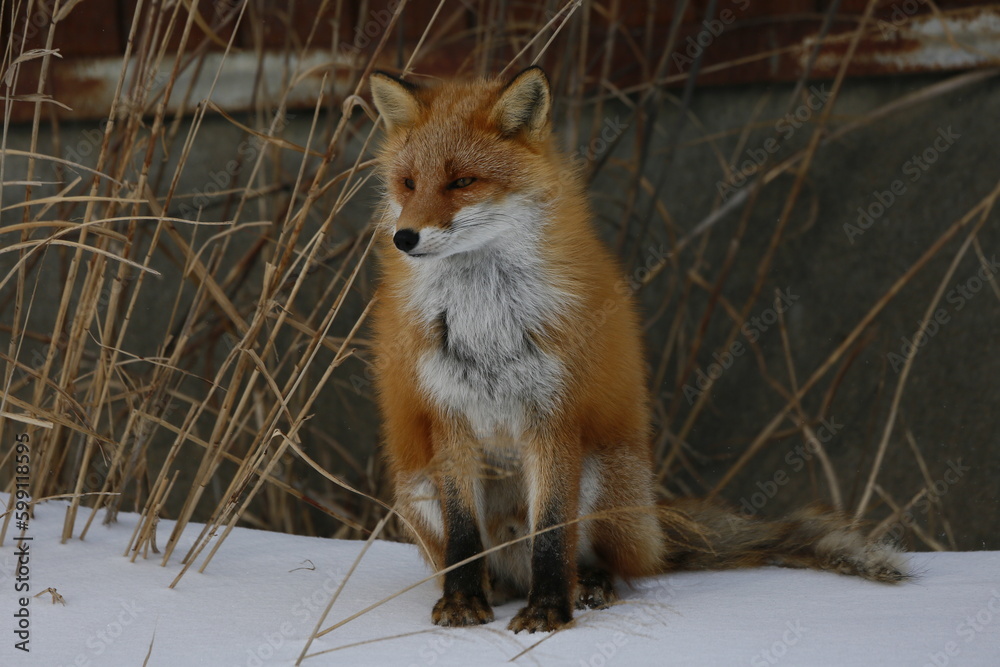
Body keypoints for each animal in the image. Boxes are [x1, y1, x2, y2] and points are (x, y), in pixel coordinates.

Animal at [367, 66, 906, 633]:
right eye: (408, 183)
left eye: (462, 182)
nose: (404, 237)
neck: (485, 320)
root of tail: (654, 526)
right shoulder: (447, 416)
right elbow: (464, 535)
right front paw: (463, 601)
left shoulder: (554, 415)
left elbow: (552, 534)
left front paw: (548, 612)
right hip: (416, 486)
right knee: (492, 562)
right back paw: (495, 589)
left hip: (602, 480)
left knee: (600, 562)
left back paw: (587, 586)